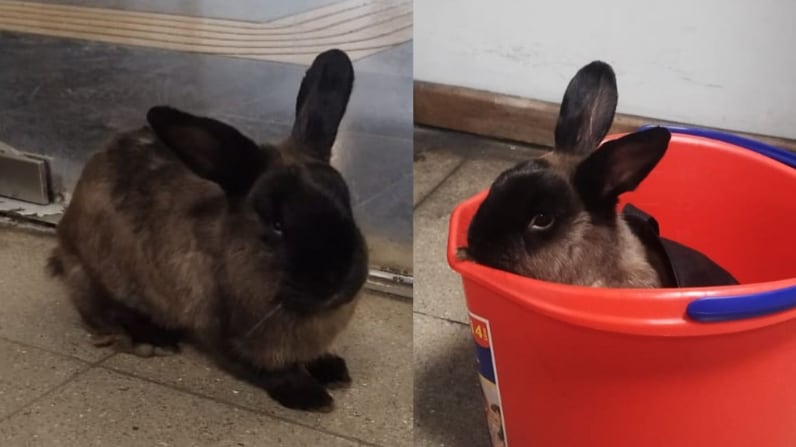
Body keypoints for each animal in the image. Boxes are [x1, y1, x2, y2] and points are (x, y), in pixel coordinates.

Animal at [47, 49, 369, 412]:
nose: (338, 279)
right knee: (103, 311)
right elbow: (268, 370)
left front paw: (333, 369)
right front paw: (311, 395)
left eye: (347, 205)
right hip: (94, 275)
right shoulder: (223, 337)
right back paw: (153, 339)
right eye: (277, 225)